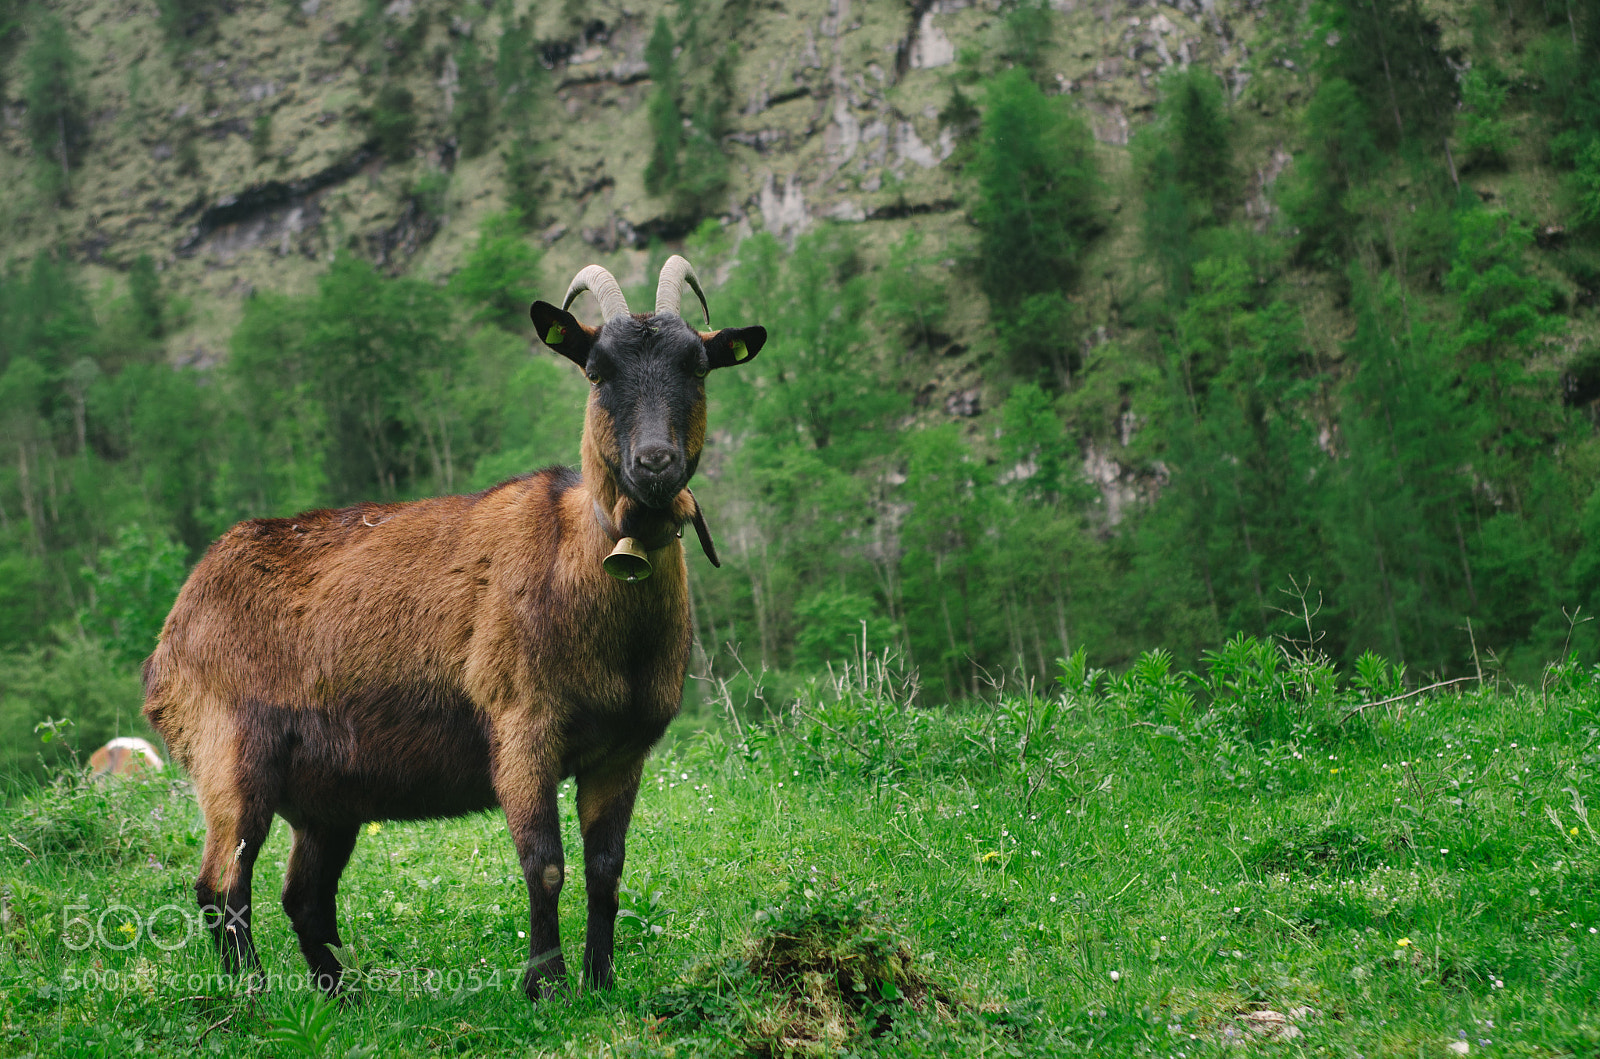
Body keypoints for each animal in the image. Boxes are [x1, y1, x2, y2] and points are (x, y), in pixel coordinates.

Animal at [141, 256, 766, 1000]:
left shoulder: (623, 749)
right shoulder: (521, 726)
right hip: (230, 753)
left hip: (326, 795)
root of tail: (172, 632)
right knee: (222, 885)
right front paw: (546, 987)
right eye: (596, 370)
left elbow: (606, 870)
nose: (655, 463)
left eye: (698, 366)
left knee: (304, 896)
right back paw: (255, 998)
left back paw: (341, 998)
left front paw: (601, 982)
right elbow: (545, 863)